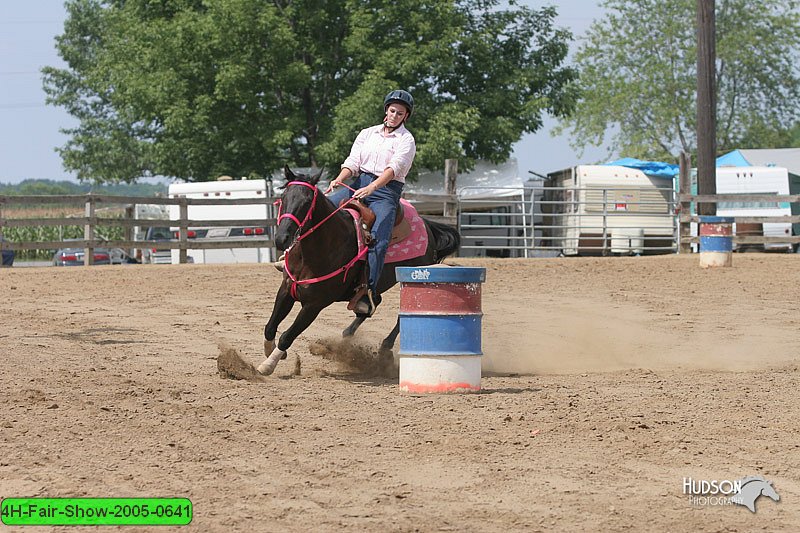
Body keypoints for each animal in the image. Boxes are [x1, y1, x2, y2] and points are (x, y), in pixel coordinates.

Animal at [260, 166, 460, 374]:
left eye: (307, 201)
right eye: (283, 197)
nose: (282, 238)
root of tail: (427, 225)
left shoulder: (314, 304)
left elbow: (287, 335)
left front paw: (268, 365)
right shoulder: (286, 290)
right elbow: (270, 327)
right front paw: (272, 353)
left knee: (402, 316)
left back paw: (384, 348)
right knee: (372, 304)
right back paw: (348, 332)